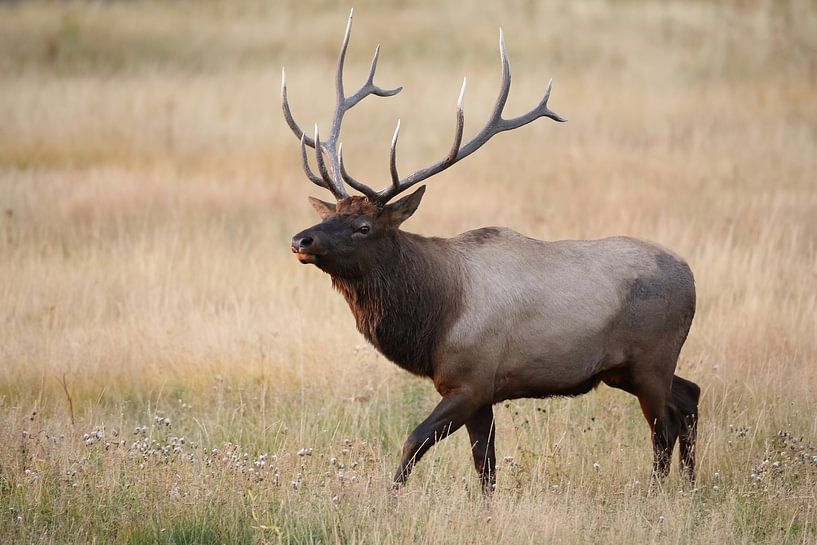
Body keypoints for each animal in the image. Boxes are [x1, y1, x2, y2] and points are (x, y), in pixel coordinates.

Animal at [283, 11, 700, 493]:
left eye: (363, 227)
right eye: (331, 212)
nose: (301, 240)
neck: (433, 318)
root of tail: (691, 276)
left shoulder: (473, 381)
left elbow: (414, 442)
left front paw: (389, 498)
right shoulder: (475, 392)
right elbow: (486, 466)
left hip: (652, 357)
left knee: (664, 426)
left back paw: (657, 491)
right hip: (626, 369)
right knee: (690, 396)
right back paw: (691, 485)